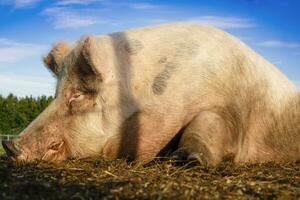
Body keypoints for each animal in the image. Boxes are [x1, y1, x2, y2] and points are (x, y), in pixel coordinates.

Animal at [1, 22, 298, 165]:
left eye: (77, 95)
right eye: (56, 93)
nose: (11, 145)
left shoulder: (229, 110)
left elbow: (207, 124)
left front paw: (184, 160)